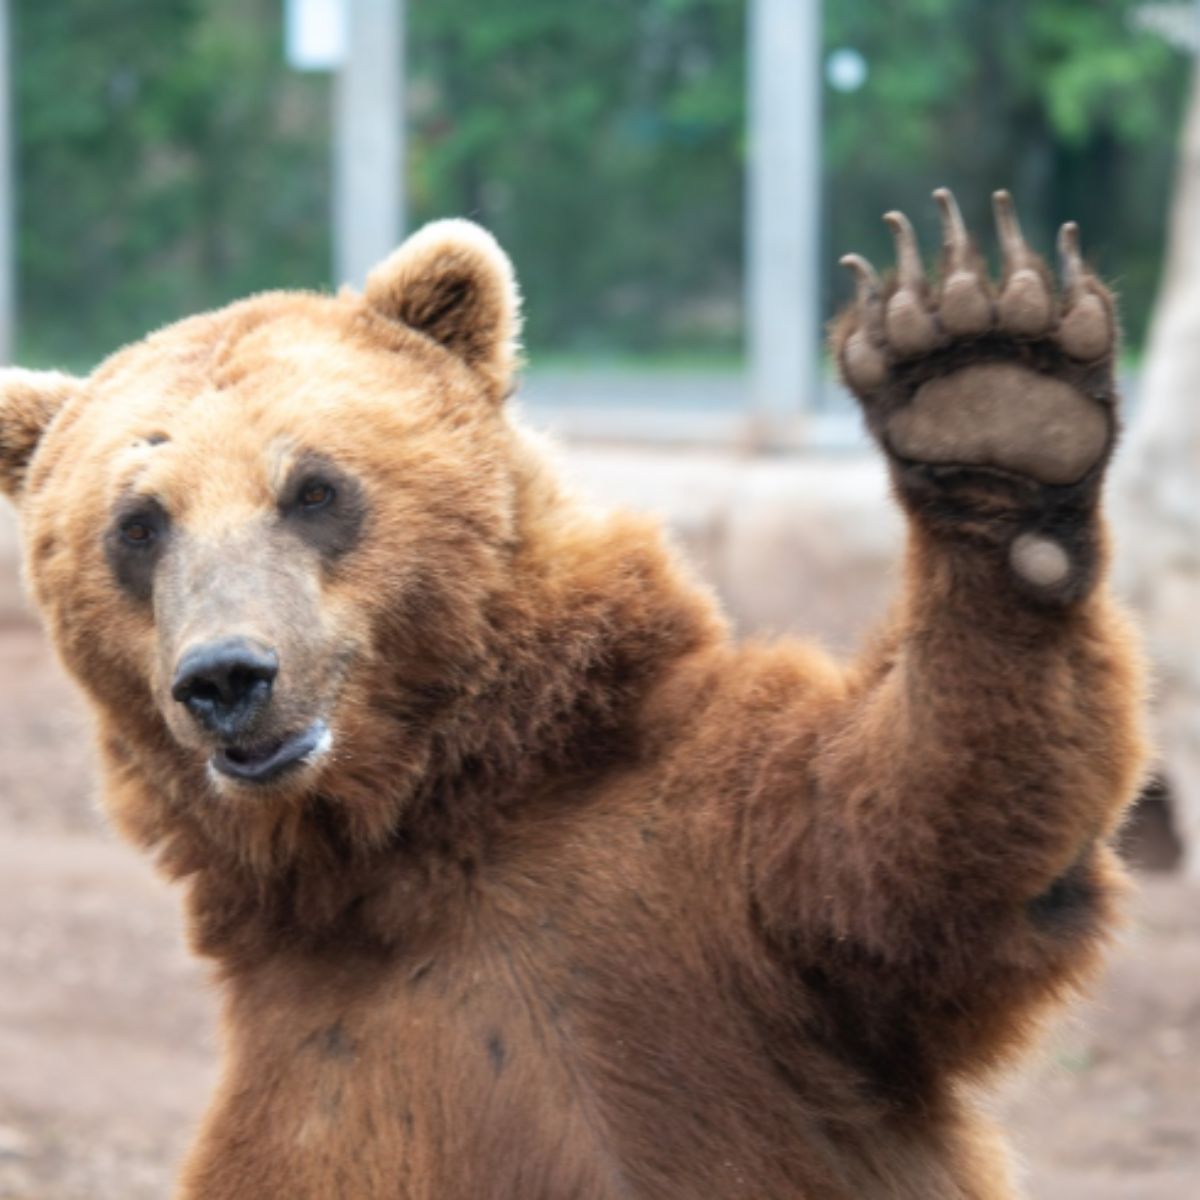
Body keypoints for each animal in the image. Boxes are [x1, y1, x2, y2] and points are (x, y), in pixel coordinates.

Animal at [0, 189, 1147, 1199]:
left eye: (315, 488)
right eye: (138, 524)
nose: (227, 677)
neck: (413, 831)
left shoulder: (708, 887)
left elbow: (904, 855)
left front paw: (990, 397)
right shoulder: (319, 1067)